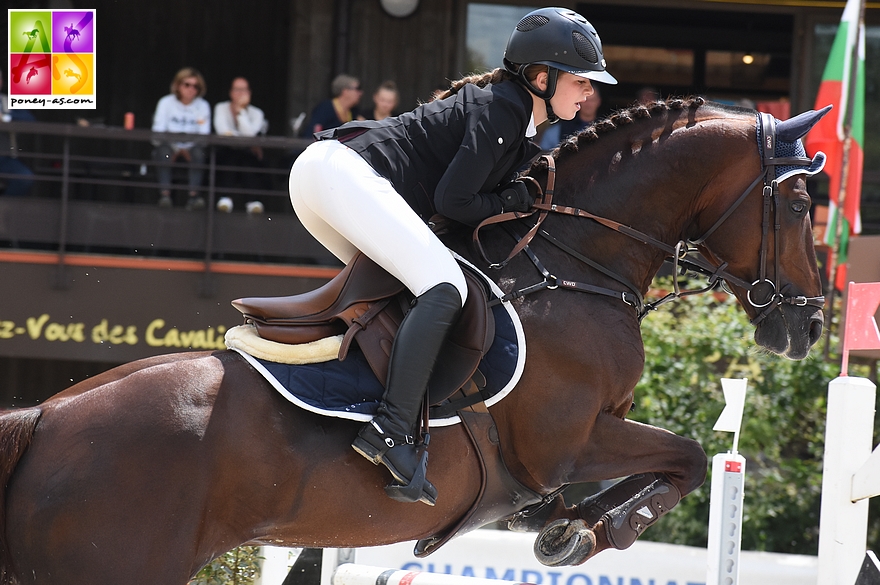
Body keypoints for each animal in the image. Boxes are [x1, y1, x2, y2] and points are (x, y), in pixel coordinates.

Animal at [0, 98, 828, 580]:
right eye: (795, 203)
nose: (812, 323)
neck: (572, 266)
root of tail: (45, 418)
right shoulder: (563, 443)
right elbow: (685, 456)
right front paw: (589, 531)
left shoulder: (572, 453)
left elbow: (667, 463)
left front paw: (569, 527)